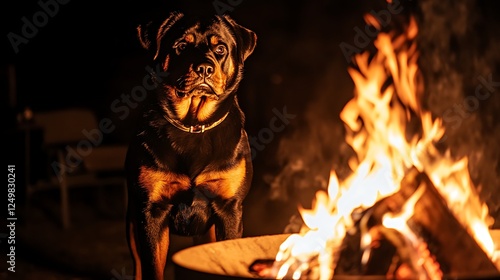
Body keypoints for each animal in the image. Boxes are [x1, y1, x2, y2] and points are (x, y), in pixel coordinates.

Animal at [124, 8, 256, 280]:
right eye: (182, 46)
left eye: (220, 49)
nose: (204, 68)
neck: (193, 125)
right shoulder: (151, 211)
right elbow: (153, 267)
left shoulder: (229, 208)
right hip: (132, 222)